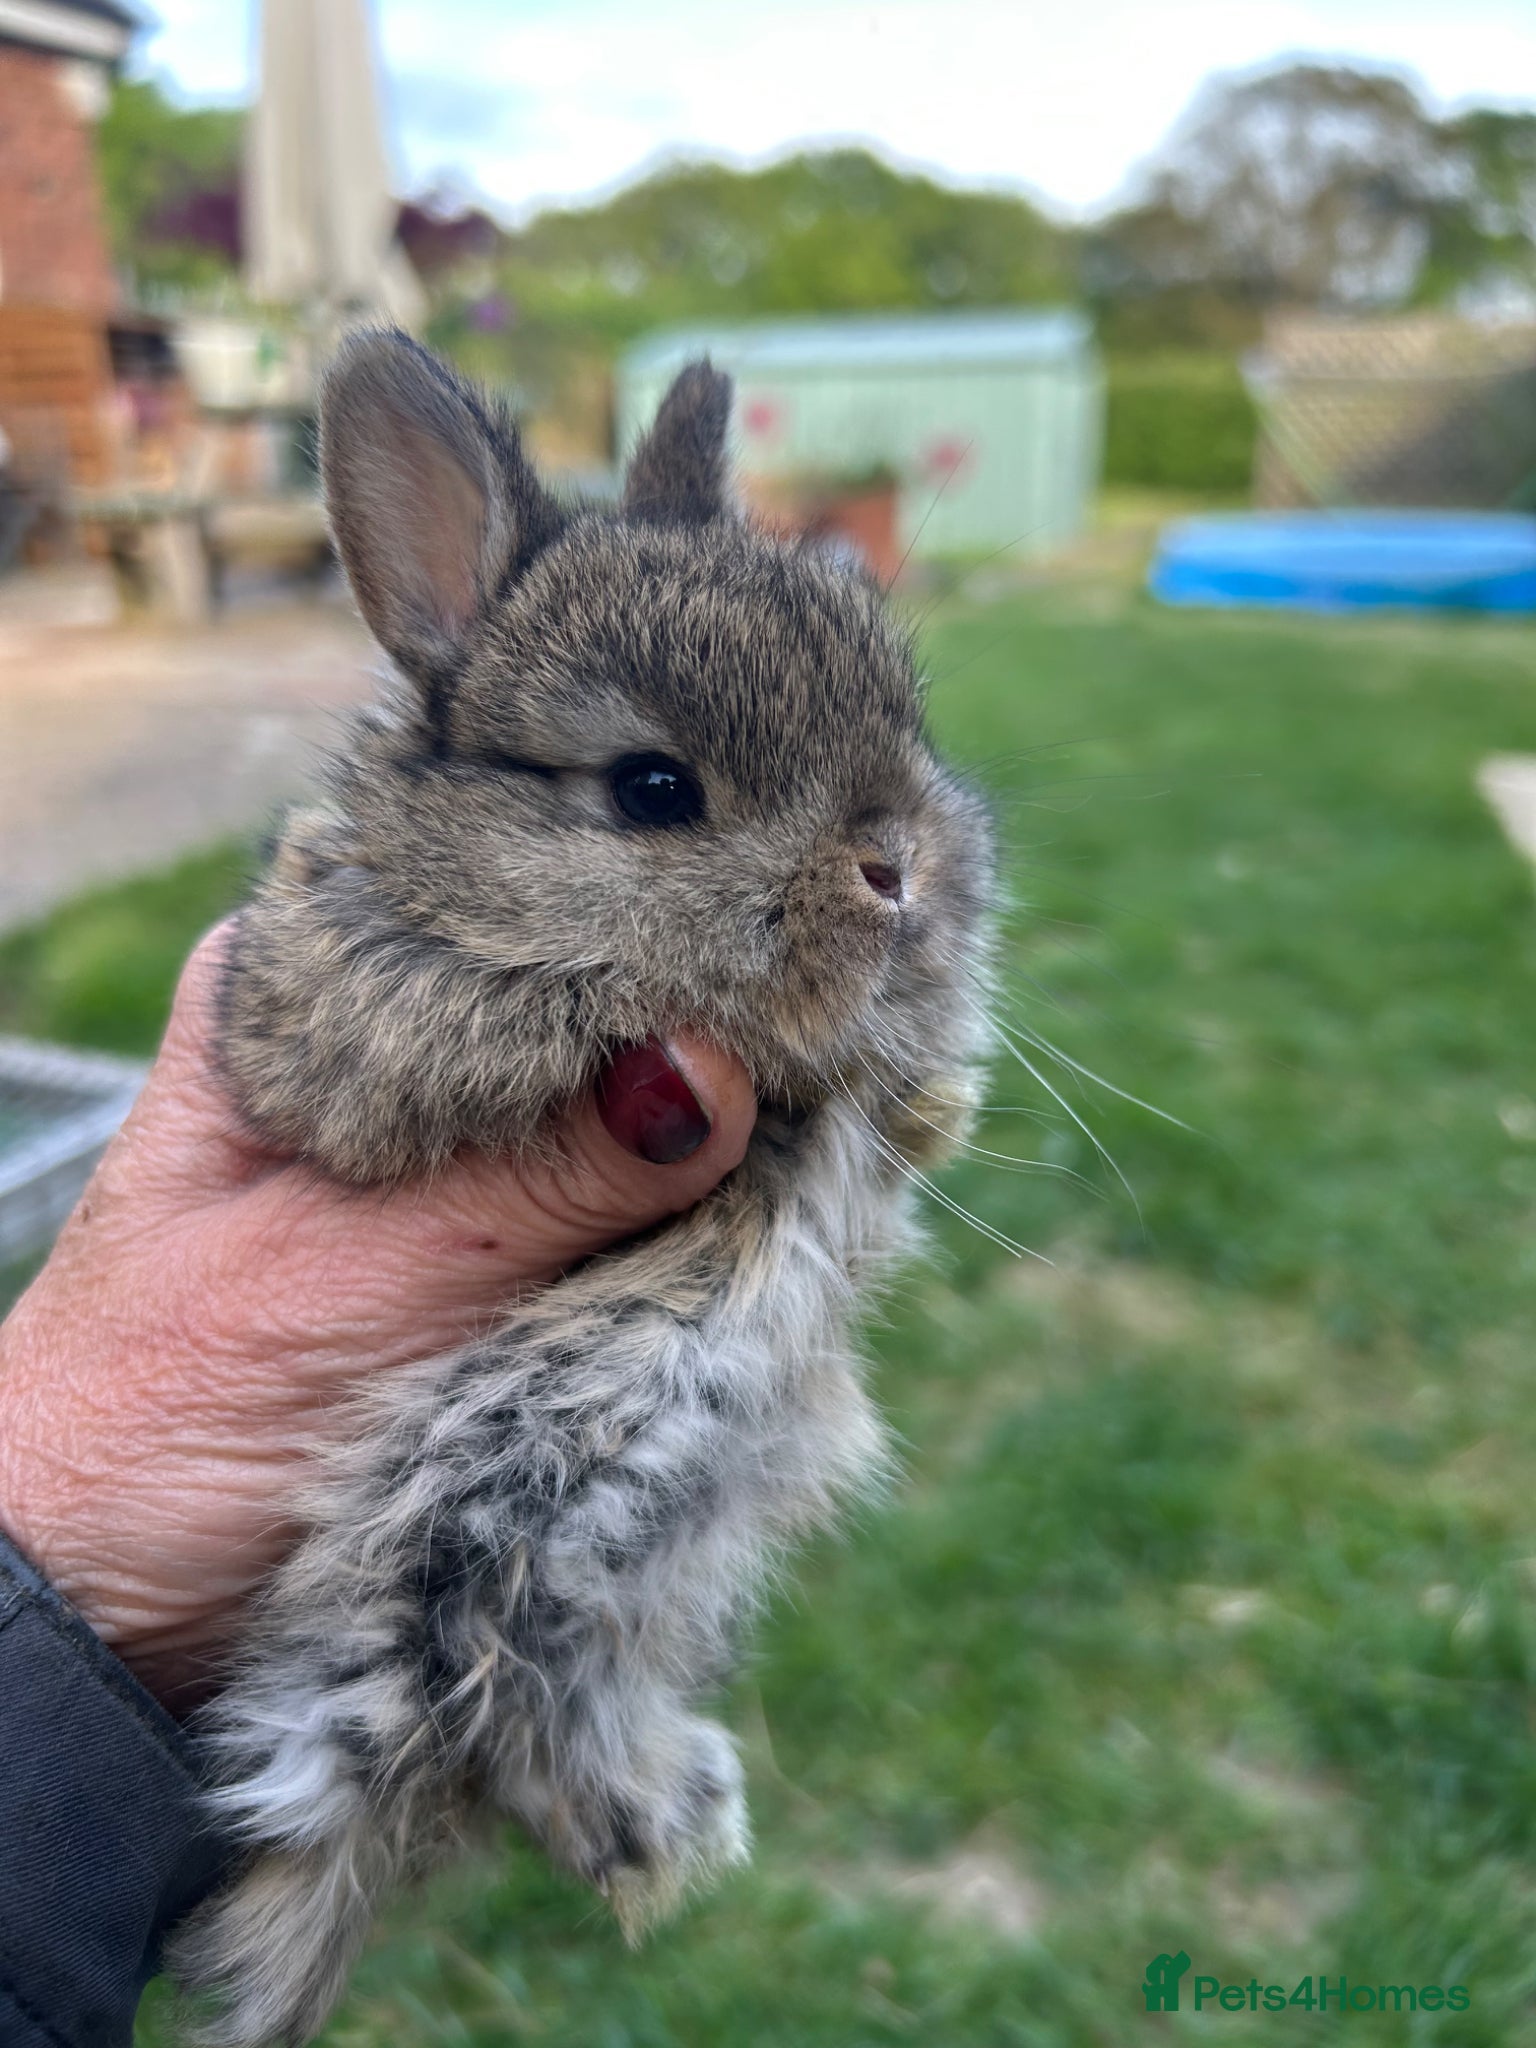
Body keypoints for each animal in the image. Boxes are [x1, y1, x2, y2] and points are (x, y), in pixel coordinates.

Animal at [168, 328, 994, 2046]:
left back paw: (666, 1827)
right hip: (466, 1552)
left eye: (902, 718)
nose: (903, 868)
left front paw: (924, 1095)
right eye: (653, 790)